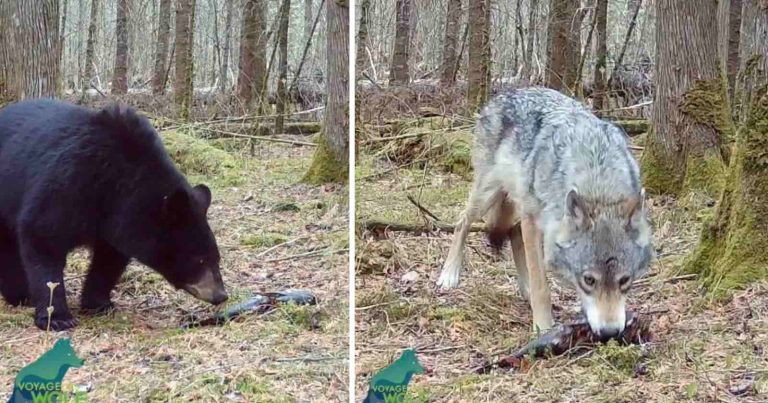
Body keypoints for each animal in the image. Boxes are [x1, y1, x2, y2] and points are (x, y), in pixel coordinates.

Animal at [0, 99, 228, 331]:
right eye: (199, 259)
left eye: (216, 257)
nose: (221, 295)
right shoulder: (68, 184)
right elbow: (43, 238)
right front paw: (57, 317)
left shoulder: (117, 219)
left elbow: (109, 259)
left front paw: (98, 303)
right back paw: (20, 294)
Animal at [437, 87, 653, 339]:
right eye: (589, 280)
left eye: (624, 280)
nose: (610, 332)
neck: (598, 181)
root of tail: (507, 92)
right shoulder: (533, 221)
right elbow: (541, 285)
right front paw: (543, 327)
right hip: (489, 195)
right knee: (462, 222)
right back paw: (449, 274)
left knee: (513, 233)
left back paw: (524, 288)